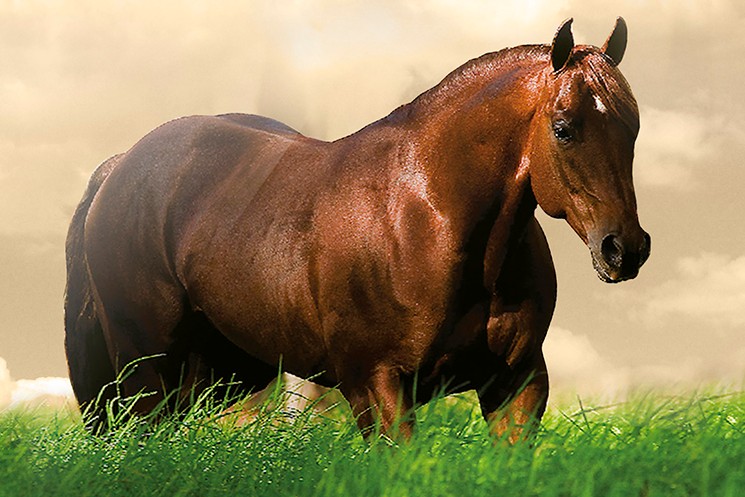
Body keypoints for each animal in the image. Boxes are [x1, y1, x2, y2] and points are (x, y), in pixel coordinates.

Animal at [64, 17, 648, 440]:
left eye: (633, 128)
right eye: (564, 128)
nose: (625, 249)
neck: (428, 220)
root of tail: (120, 167)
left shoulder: (517, 384)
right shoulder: (377, 385)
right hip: (146, 375)